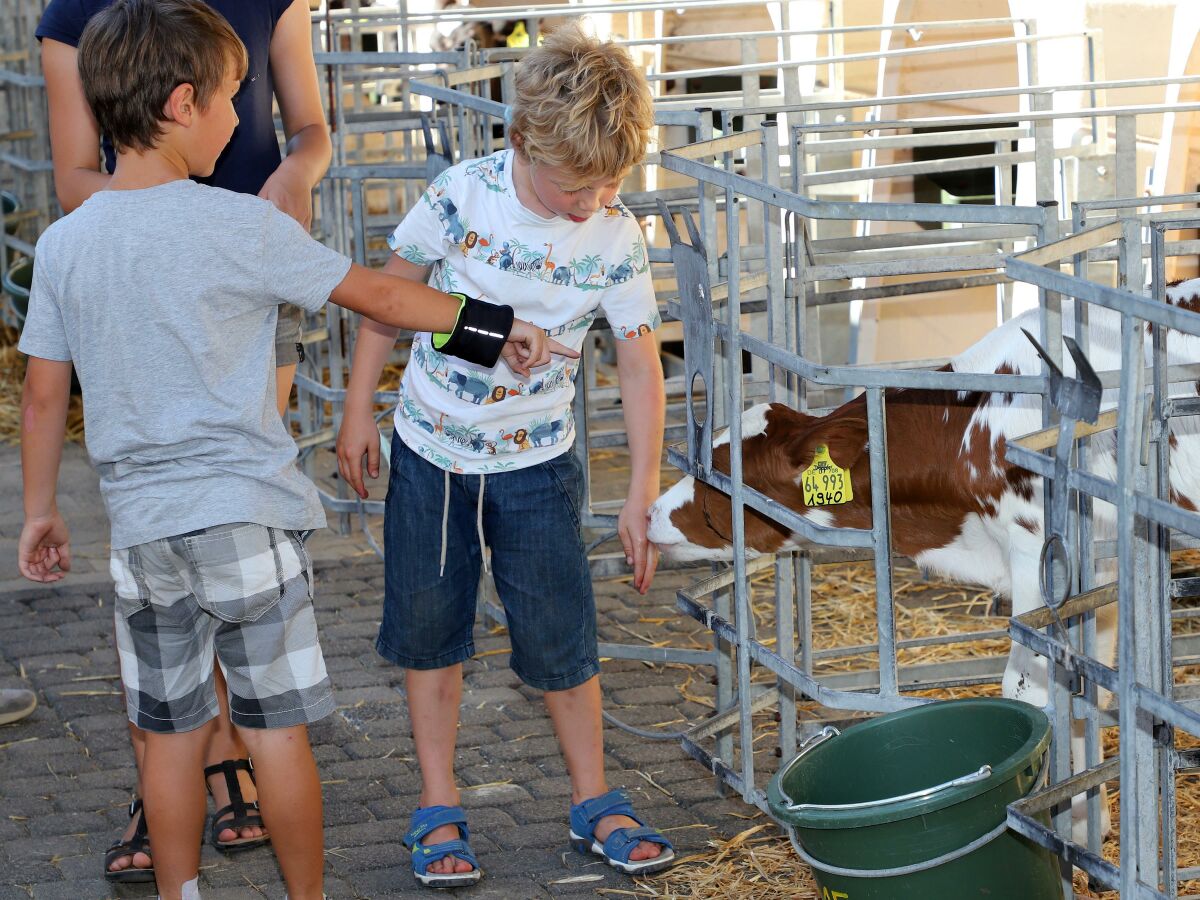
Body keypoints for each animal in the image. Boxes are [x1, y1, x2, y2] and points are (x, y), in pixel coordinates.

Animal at [652, 278, 1200, 844]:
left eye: (723, 474)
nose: (650, 515)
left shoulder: (1037, 550)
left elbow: (1032, 688)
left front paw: (1059, 826)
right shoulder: (1100, 563)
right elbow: (1090, 690)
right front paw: (1088, 822)